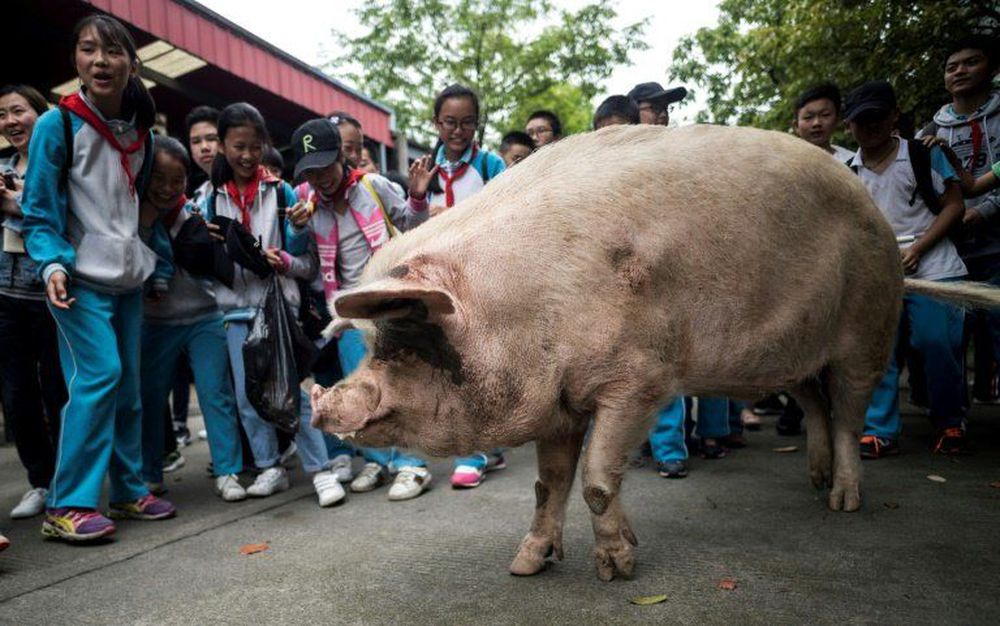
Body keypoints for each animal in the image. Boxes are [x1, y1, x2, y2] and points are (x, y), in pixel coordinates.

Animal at [310, 123, 992, 580]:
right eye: (376, 343)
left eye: (409, 342)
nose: (325, 403)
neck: (519, 311)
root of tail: (878, 218)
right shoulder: (558, 401)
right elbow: (548, 485)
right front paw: (526, 565)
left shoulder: (639, 380)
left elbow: (595, 479)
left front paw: (617, 571)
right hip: (790, 350)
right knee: (815, 403)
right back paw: (815, 480)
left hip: (866, 324)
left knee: (850, 411)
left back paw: (842, 501)